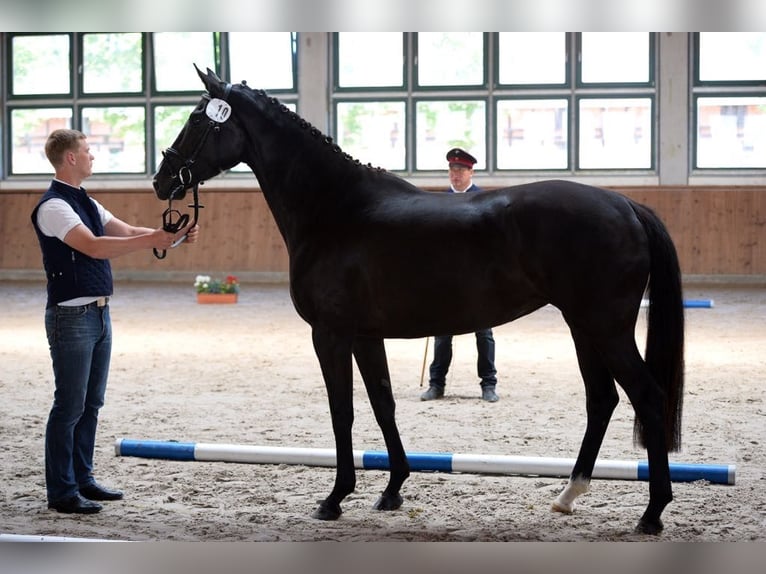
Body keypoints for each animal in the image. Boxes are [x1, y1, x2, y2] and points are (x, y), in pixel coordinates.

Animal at [153, 66, 688, 536]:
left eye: (197, 120)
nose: (162, 180)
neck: (336, 209)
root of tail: (625, 204)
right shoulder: (366, 337)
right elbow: (382, 403)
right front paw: (392, 490)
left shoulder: (330, 335)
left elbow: (342, 411)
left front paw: (335, 498)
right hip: (584, 327)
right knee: (602, 399)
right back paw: (568, 496)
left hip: (605, 328)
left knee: (646, 395)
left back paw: (652, 513)